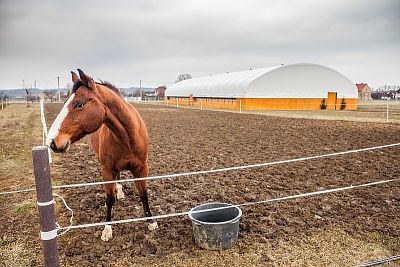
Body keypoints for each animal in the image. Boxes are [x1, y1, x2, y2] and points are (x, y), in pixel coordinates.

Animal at [46, 70, 158, 242]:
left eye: (79, 104)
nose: (51, 142)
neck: (127, 137)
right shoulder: (107, 170)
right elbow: (109, 199)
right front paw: (107, 229)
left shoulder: (141, 168)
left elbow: (143, 194)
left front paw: (151, 222)